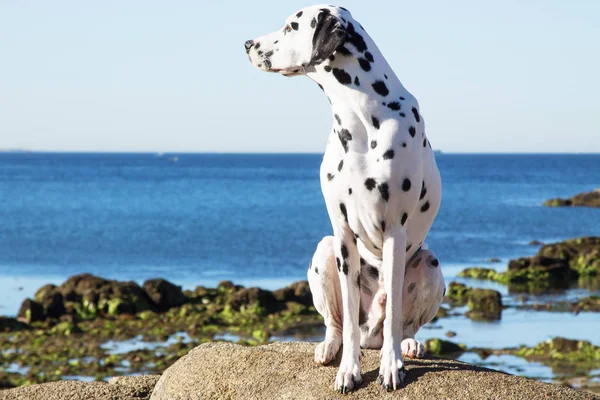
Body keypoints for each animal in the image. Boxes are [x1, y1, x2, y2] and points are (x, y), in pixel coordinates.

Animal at [245, 3, 446, 394]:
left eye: (291, 26)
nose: (247, 43)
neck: (360, 119)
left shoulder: (394, 232)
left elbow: (395, 313)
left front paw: (390, 366)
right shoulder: (342, 234)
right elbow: (350, 317)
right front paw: (349, 369)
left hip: (430, 264)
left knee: (400, 325)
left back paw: (407, 344)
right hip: (323, 253)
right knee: (338, 323)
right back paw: (329, 346)